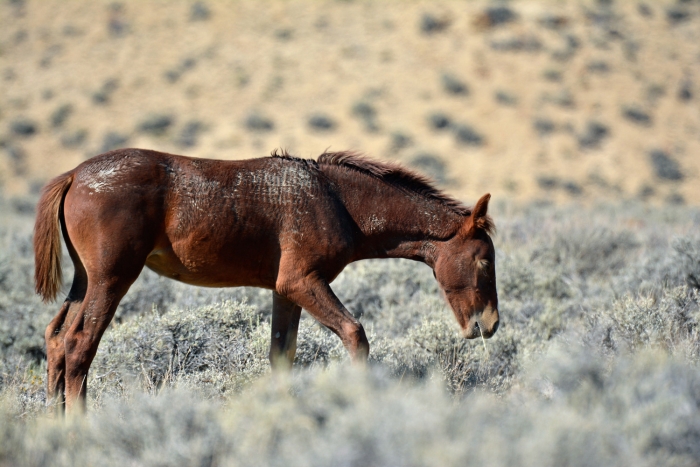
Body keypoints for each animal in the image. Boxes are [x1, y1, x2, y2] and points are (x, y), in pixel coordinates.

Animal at [35, 149, 498, 414]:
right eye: (484, 261)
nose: (489, 325)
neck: (337, 199)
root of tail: (74, 175)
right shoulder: (302, 282)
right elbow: (355, 334)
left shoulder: (286, 292)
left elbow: (281, 355)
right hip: (112, 279)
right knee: (80, 342)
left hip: (85, 280)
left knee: (56, 338)